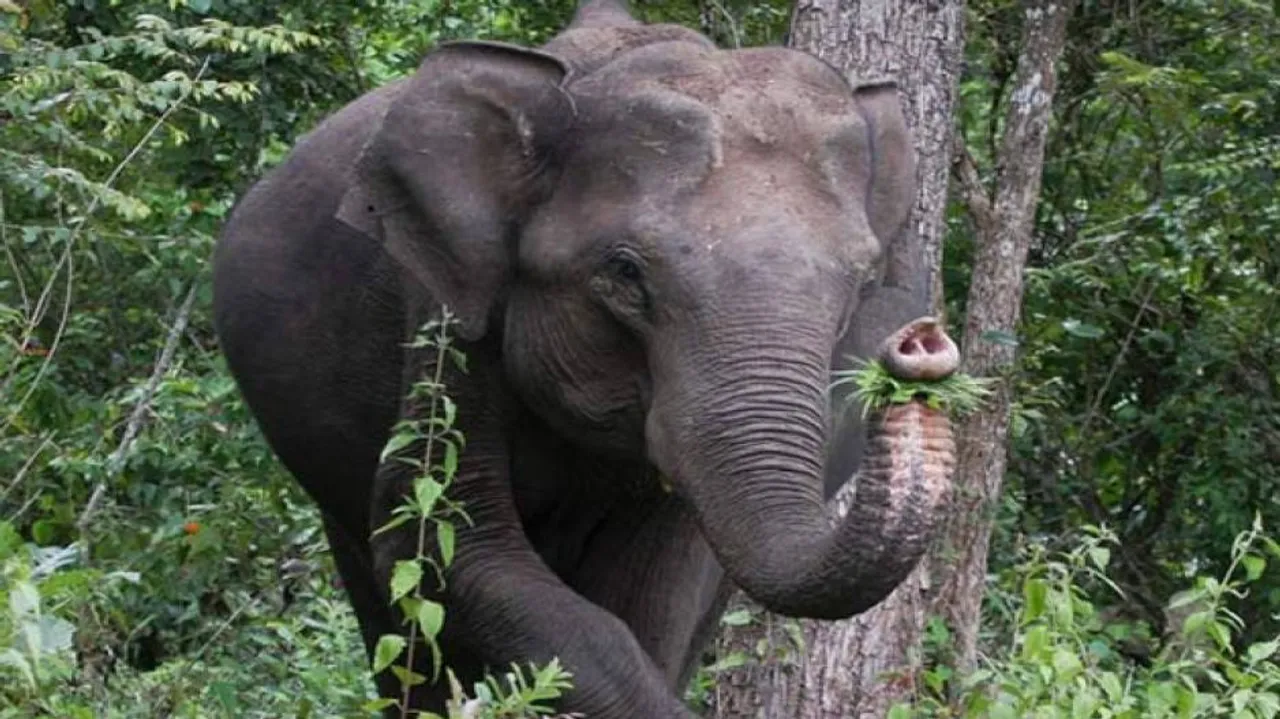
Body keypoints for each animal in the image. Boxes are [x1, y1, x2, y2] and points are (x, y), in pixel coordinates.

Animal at [211, 1, 960, 716]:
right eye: (625, 273)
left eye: (861, 283)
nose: (919, 345)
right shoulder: (444, 311)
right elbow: (443, 539)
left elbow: (657, 592)